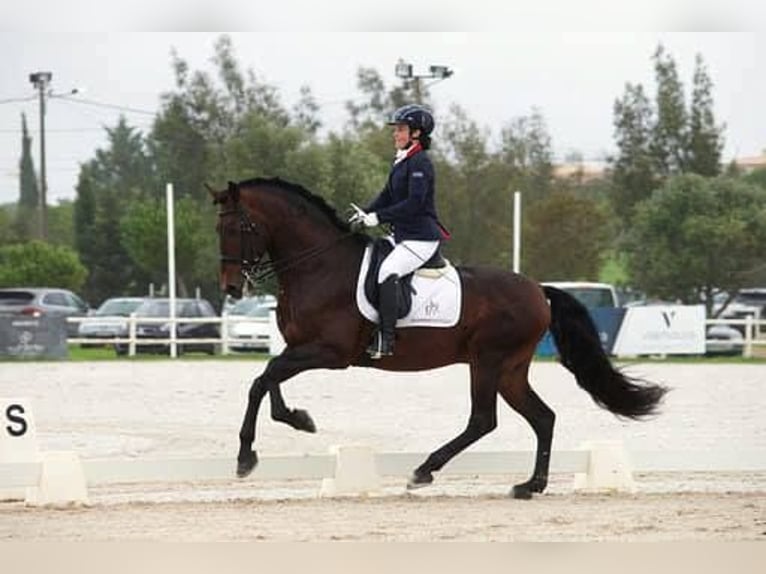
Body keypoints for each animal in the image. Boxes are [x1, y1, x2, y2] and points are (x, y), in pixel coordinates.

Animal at [208, 179, 664, 500]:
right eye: (218, 228)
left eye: (239, 226)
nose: (231, 287)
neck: (318, 266)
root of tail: (539, 290)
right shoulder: (298, 347)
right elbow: (270, 379)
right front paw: (298, 418)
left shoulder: (329, 352)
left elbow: (262, 379)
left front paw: (246, 457)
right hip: (511, 369)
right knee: (542, 417)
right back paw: (529, 485)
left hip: (487, 360)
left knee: (484, 419)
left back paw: (424, 471)